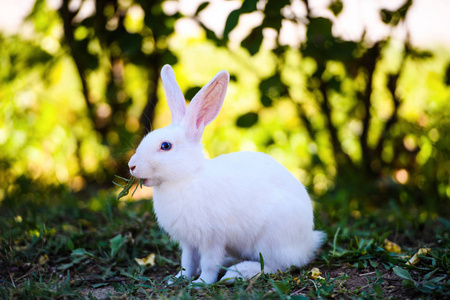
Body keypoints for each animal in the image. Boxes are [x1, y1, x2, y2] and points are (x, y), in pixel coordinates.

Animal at [128, 65, 326, 284]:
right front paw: (178, 279)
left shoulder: (212, 239)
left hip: (271, 239)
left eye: (165, 146)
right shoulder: (188, 242)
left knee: (275, 266)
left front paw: (201, 283)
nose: (131, 166)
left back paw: (236, 273)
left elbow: (209, 263)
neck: (186, 177)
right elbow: (187, 261)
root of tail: (307, 243)